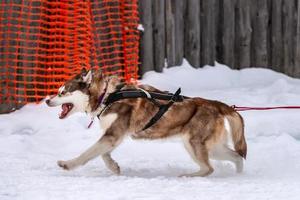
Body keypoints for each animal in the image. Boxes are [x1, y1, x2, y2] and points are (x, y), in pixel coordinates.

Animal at [46, 69, 246, 177]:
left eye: (62, 92)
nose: (47, 100)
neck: (106, 96)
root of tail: (216, 104)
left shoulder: (113, 135)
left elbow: (87, 153)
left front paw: (68, 164)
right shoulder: (113, 136)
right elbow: (103, 155)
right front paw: (114, 167)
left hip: (194, 144)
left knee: (208, 168)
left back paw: (187, 176)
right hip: (213, 148)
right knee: (236, 157)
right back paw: (238, 175)